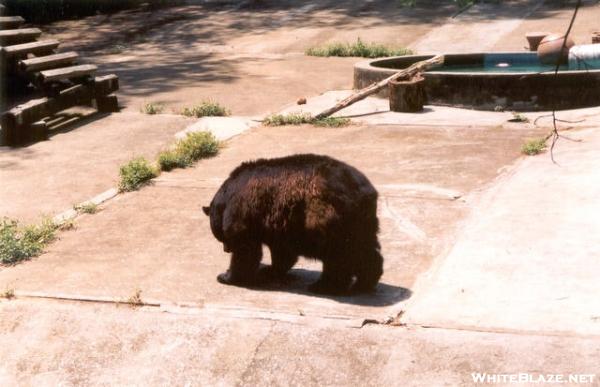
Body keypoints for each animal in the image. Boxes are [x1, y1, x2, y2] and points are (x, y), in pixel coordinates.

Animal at [204, 154, 384, 294]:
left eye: (221, 237)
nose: (226, 249)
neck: (229, 193)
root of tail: (365, 191)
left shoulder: (243, 211)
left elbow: (245, 248)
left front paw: (227, 276)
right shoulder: (279, 222)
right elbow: (282, 252)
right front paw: (270, 270)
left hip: (328, 216)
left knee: (338, 255)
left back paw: (324, 286)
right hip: (362, 222)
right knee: (365, 249)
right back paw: (364, 283)